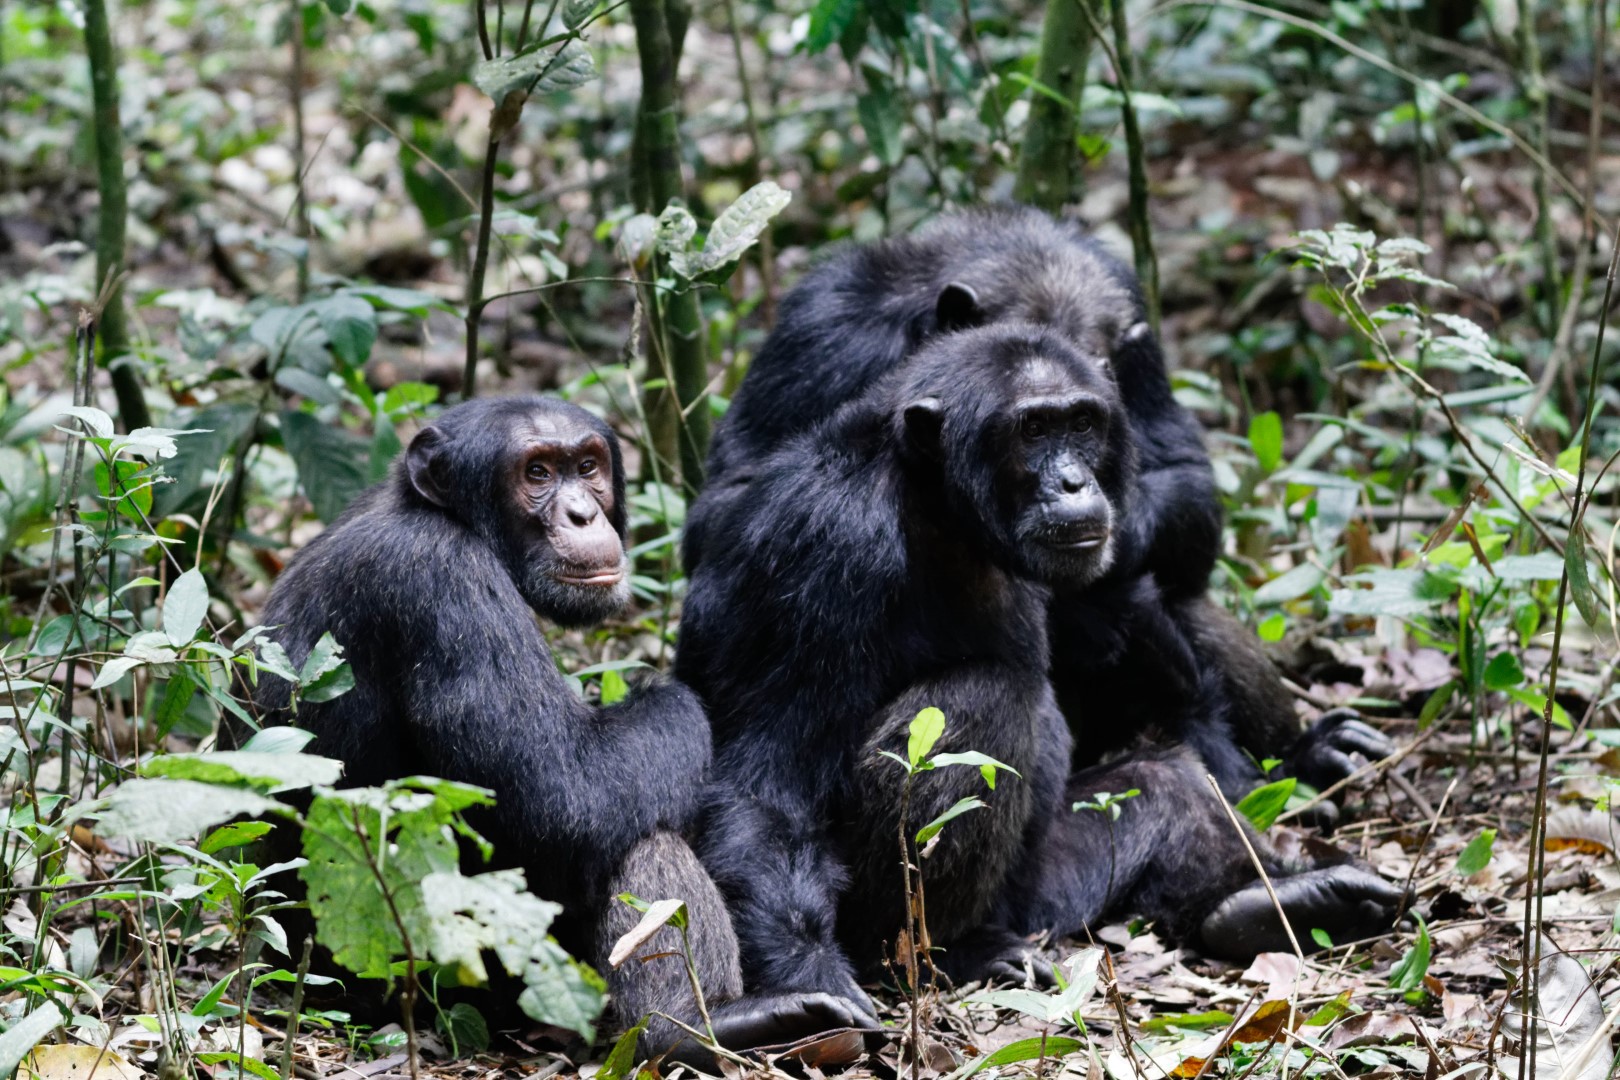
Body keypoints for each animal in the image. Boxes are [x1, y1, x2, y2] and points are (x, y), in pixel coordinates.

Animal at [251, 396, 874, 1062]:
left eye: (586, 466)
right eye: (537, 474)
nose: (581, 512)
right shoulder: (440, 579)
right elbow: (567, 796)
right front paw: (665, 692)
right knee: (635, 832)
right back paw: (692, 1029)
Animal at [673, 323, 1406, 1003]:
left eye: (1080, 423)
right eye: (1031, 430)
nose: (1073, 480)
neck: (936, 508)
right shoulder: (824, 548)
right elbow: (770, 782)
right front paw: (807, 972)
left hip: (1049, 890)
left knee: (1163, 781)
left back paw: (1267, 900)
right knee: (988, 701)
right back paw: (957, 953)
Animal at [686, 204, 1393, 809]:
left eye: (1092, 394)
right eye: (1029, 426)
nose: (1071, 478)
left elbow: (1184, 476)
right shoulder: (823, 334)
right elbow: (726, 508)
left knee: (1180, 591)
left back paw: (1305, 754)